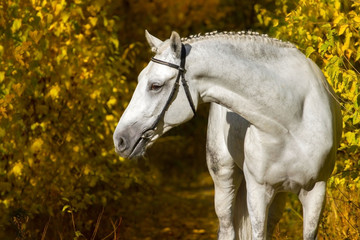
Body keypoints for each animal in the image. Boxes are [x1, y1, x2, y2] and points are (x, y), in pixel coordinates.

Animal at [113, 30, 344, 240]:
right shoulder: (258, 192)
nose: (120, 140)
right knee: (227, 229)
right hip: (225, 180)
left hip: (278, 196)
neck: (291, 119)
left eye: (155, 86)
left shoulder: (316, 192)